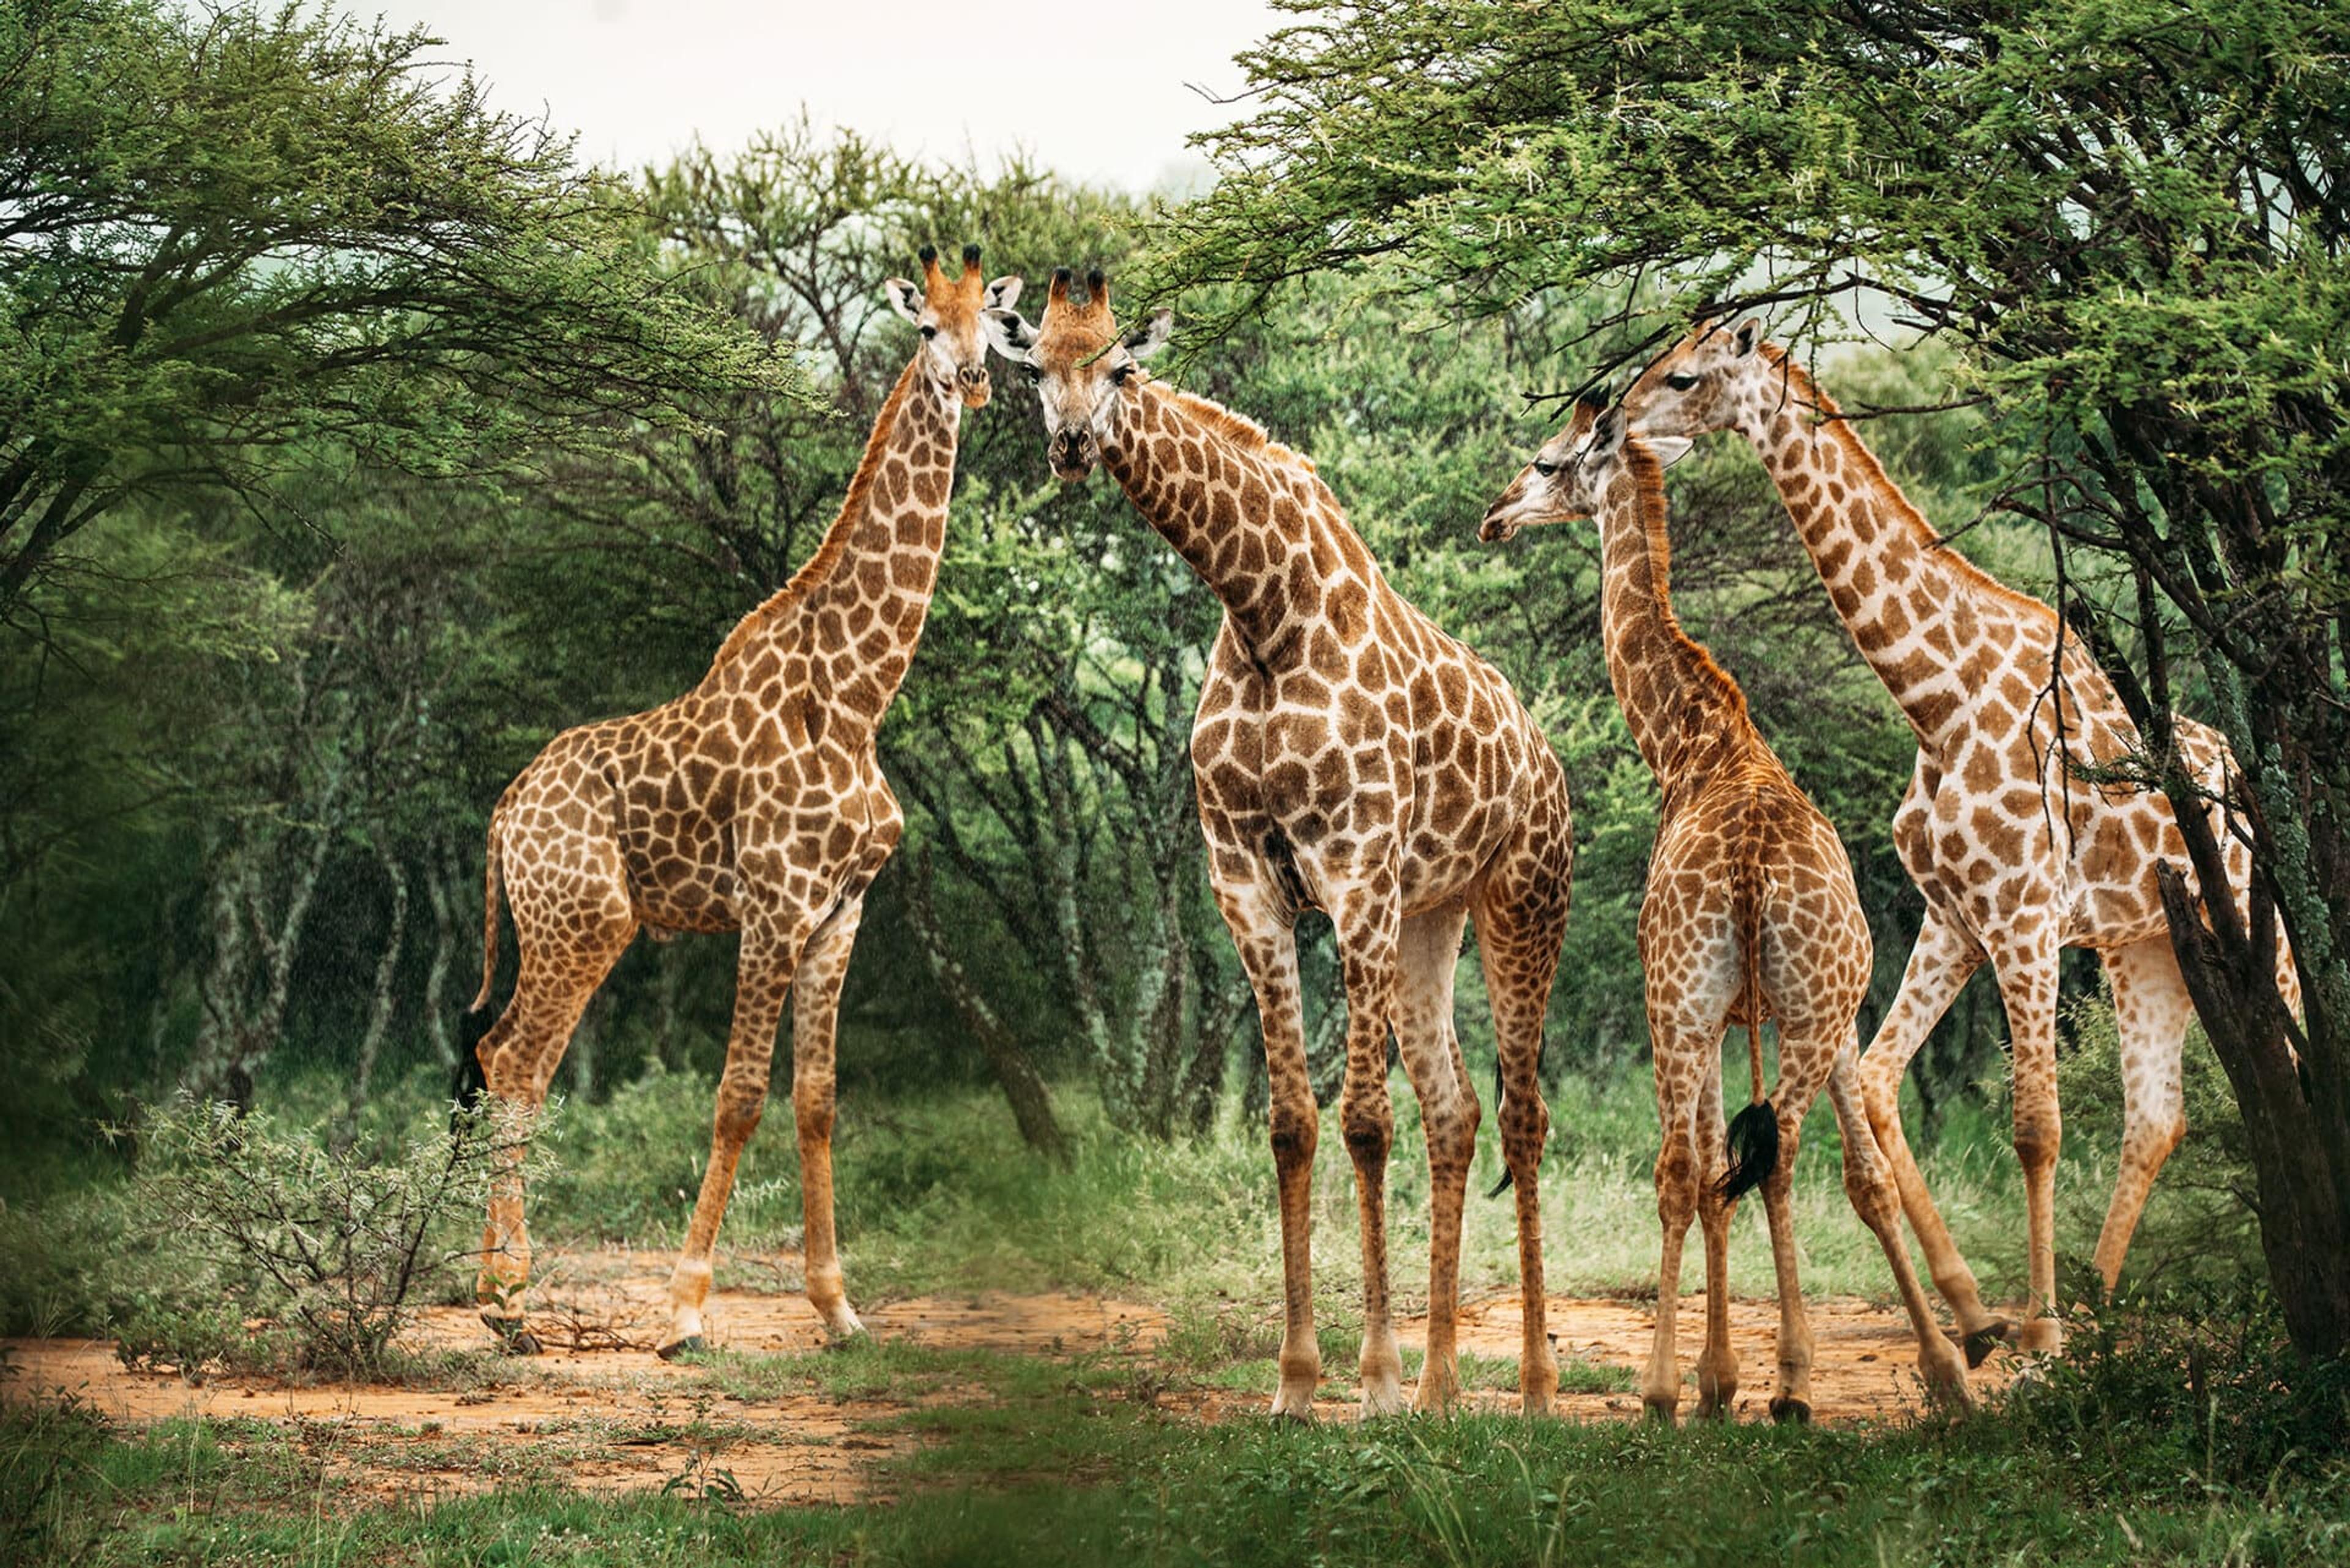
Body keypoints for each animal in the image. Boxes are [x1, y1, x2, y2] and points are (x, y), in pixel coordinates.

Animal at [455, 245, 1020, 1357]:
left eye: (996, 326)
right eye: (926, 328)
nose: (973, 383)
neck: (856, 695)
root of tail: (505, 813)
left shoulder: (842, 910)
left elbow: (817, 1100)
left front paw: (838, 1307)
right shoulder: (773, 901)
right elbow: (737, 1096)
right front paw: (683, 1309)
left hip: (569, 926)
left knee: (505, 1061)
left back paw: (503, 1290)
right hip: (582, 921)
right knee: (514, 1062)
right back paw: (508, 1299)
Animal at [983, 269, 1575, 1417]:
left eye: (1123, 369)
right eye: (1037, 370)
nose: (1072, 445)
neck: (1263, 612)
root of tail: (1547, 757)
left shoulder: (1354, 875)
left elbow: (1364, 1123)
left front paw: (1372, 1378)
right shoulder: (1246, 883)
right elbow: (1292, 1122)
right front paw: (1300, 1382)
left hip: (1522, 900)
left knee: (1522, 1115)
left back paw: (1530, 1385)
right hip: (1433, 917)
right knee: (1456, 1109)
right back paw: (1442, 1387)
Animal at [1480, 401, 1970, 1418]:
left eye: (1546, 461)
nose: (1493, 516)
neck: (1695, 742)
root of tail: (1749, 871)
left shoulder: (1712, 1015)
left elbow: (1714, 1171)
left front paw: (1714, 1379)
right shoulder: (1811, 1012)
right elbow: (1822, 1175)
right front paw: (1758, 1374)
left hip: (1678, 1005)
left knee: (1687, 1167)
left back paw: (1666, 1391)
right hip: (1804, 1009)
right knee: (1776, 1152)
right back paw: (1856, 1380)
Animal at [1623, 320, 2297, 1357]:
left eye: (1686, 376)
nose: (1617, 420)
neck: (1936, 697)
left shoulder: (2022, 915)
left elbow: (2036, 1124)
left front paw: (2040, 1331)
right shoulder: (1953, 916)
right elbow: (1880, 1081)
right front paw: (1978, 1313)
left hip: (2268, 938)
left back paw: (2091, 1314)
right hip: (2148, 947)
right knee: (2155, 1117)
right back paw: (2101, 1305)